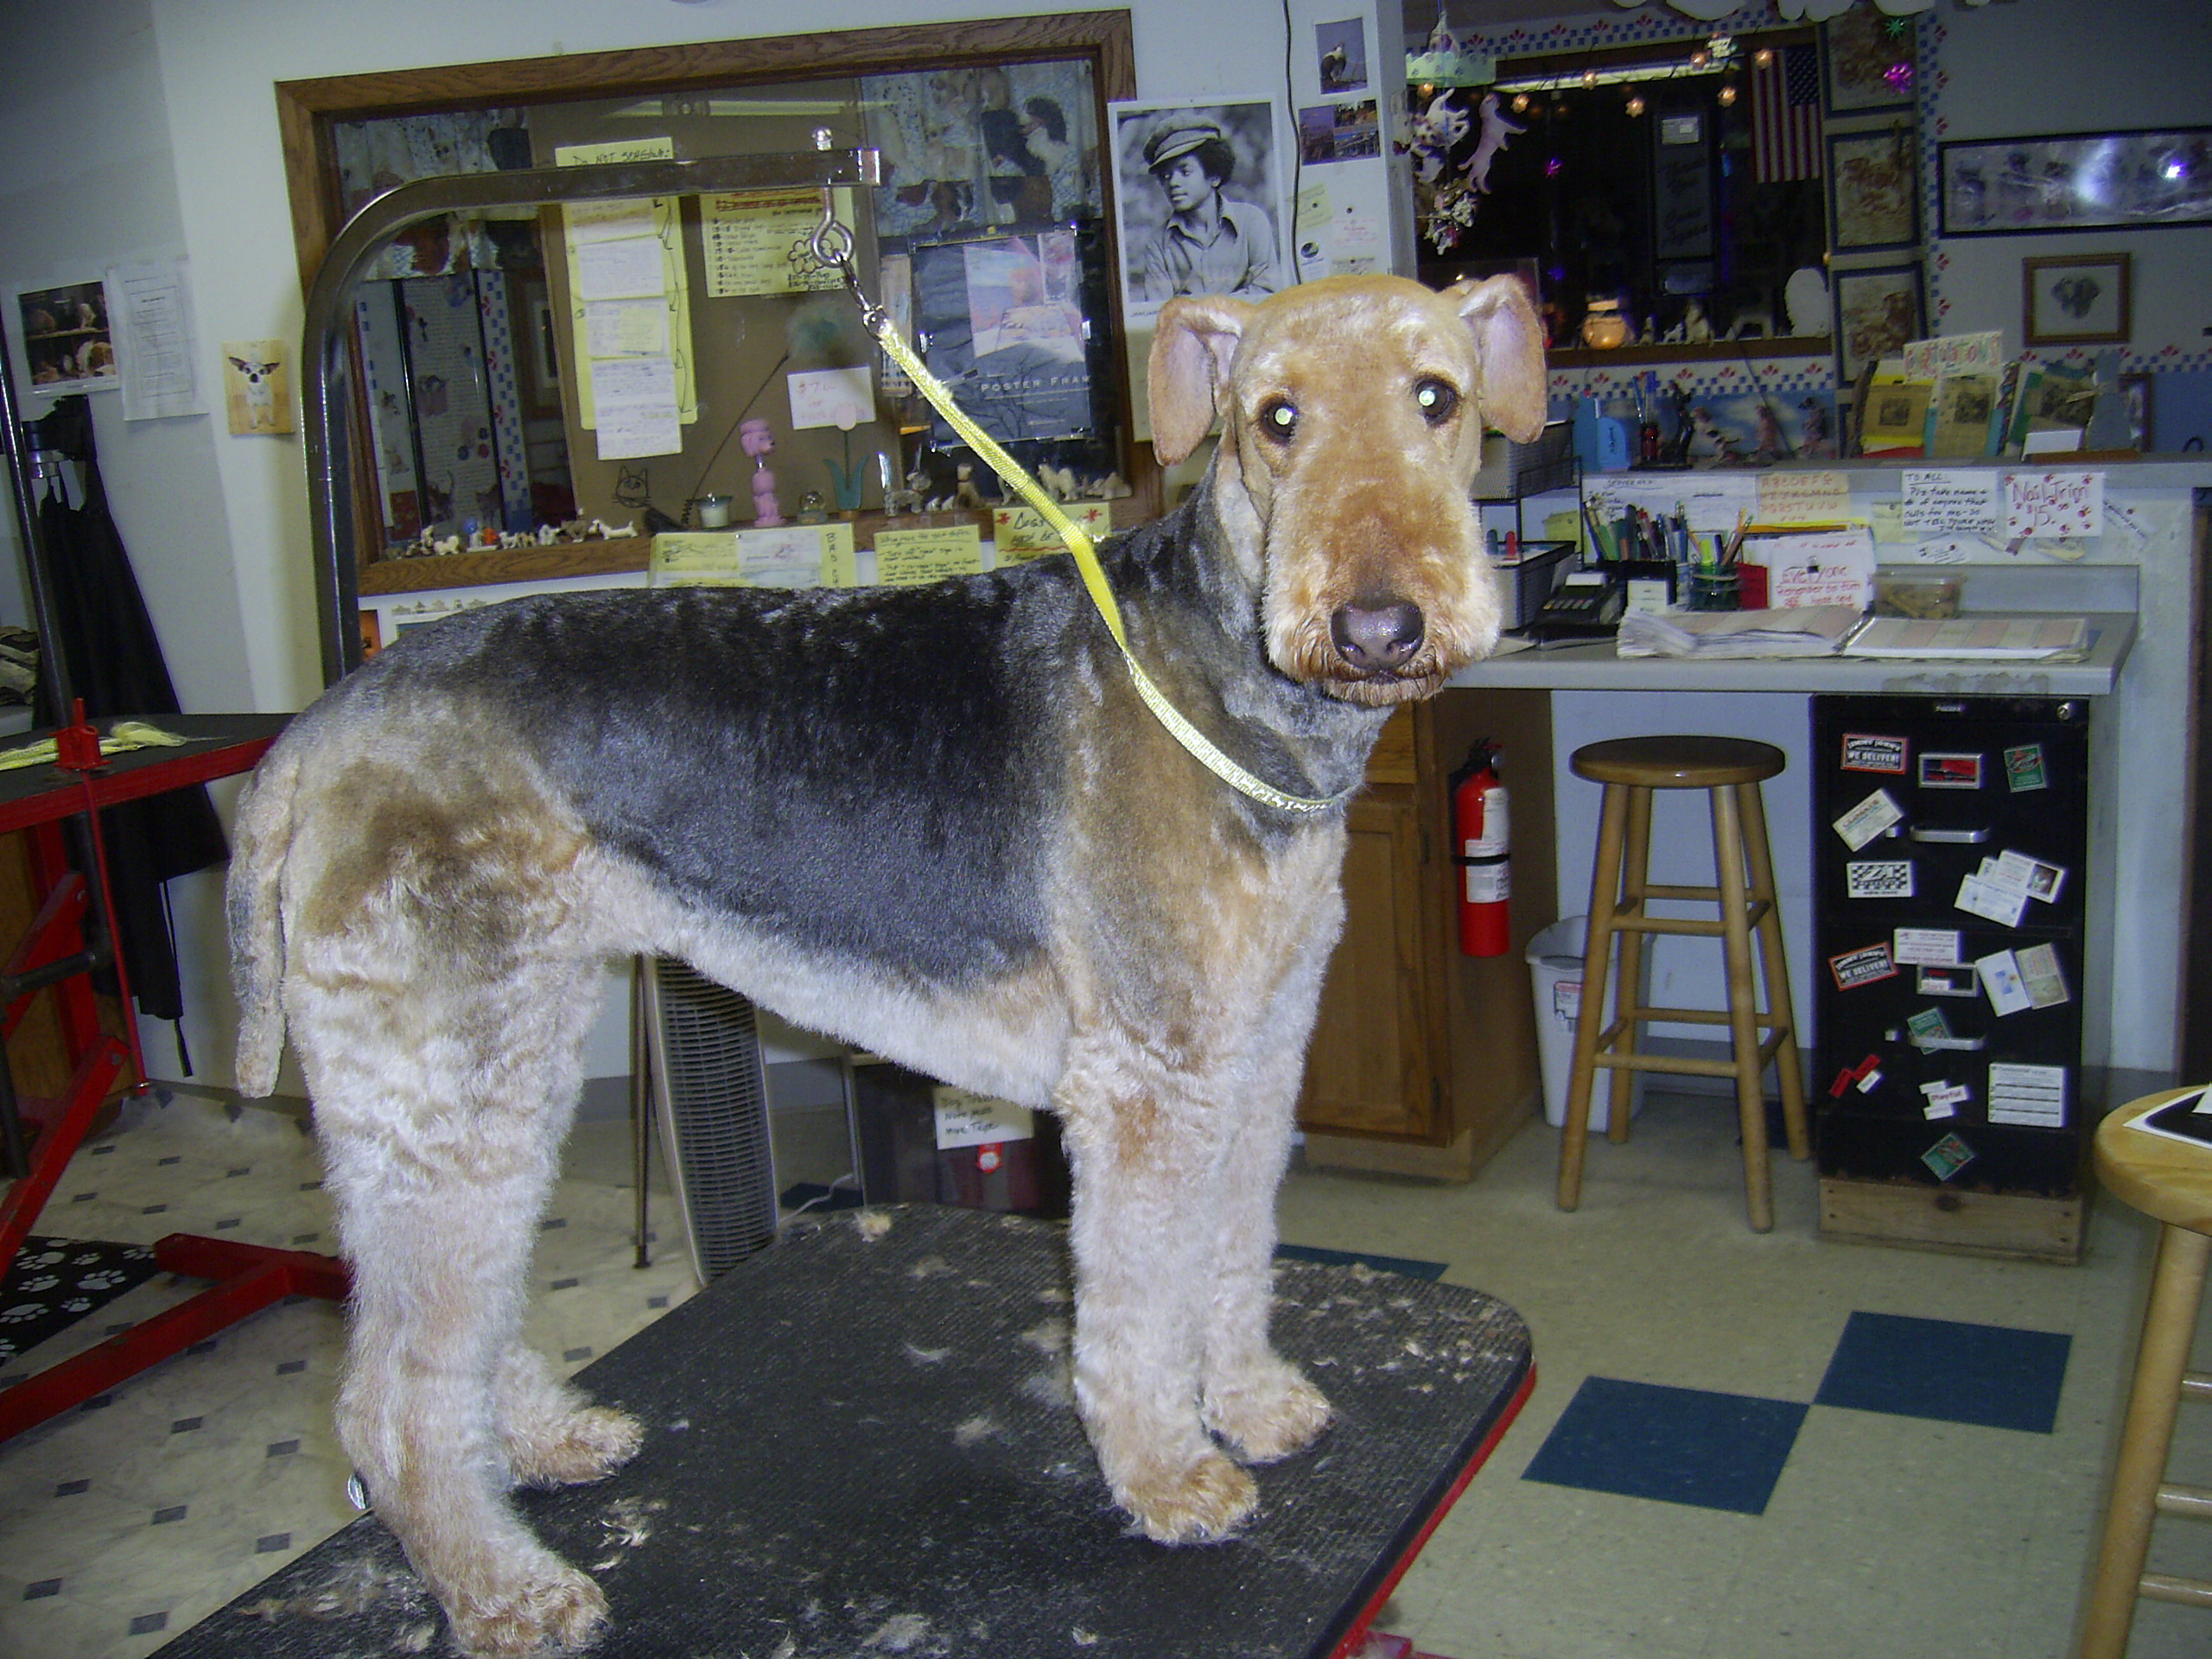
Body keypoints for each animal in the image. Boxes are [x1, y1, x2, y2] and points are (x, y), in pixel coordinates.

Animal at [226, 271, 1546, 1657]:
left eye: (1437, 398)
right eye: (1274, 417)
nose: (1377, 627)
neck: (1225, 685)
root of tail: (321, 728)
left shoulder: (1256, 1056)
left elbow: (1232, 1259)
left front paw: (1253, 1404)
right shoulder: (1149, 1083)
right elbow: (1139, 1304)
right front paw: (1170, 1476)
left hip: (481, 1083)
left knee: (443, 1329)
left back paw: (542, 1444)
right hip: (452, 1083)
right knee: (389, 1398)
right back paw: (510, 1591)